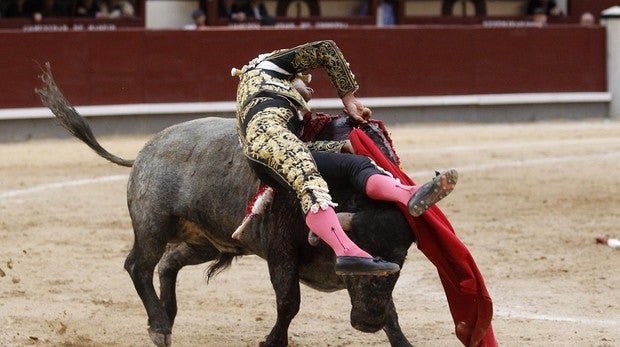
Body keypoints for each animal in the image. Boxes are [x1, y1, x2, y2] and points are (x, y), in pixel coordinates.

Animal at [36, 66, 418, 347]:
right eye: (364, 248)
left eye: (399, 262)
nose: (368, 323)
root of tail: (146, 149)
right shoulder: (281, 251)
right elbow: (288, 303)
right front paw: (271, 341)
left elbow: (393, 312)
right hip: (152, 226)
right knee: (138, 266)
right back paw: (159, 326)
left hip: (205, 240)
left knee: (168, 264)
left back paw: (166, 316)